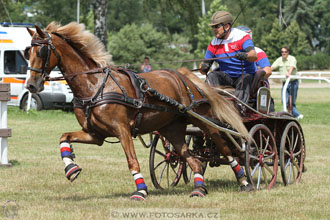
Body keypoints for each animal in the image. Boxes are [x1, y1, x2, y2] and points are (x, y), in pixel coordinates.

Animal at [25, 21, 253, 199]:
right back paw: (199, 189)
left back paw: (244, 180)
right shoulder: (95, 134)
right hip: (172, 129)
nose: (31, 85)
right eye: (28, 52)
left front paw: (141, 190)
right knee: (193, 160)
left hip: (201, 119)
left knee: (223, 144)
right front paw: (71, 167)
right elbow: (63, 137)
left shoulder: (122, 130)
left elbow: (132, 161)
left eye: (42, 51)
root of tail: (185, 76)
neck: (94, 85)